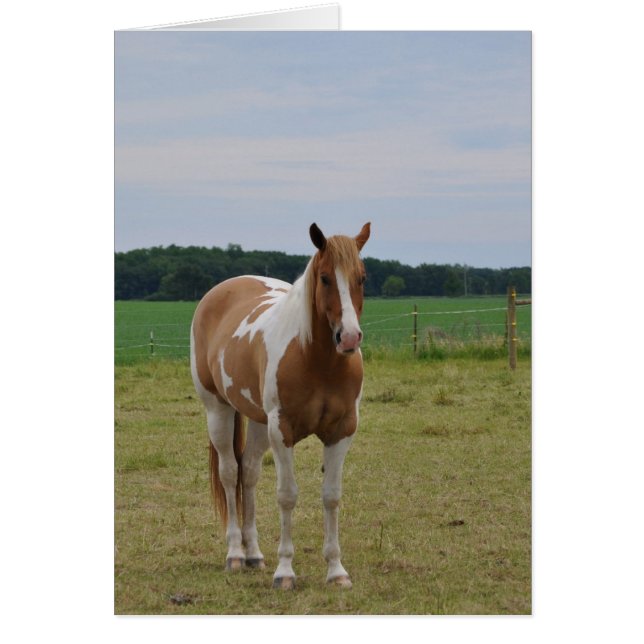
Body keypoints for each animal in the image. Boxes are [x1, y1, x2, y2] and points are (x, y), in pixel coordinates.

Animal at [190, 222, 370, 590]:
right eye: (325, 278)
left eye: (362, 277)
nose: (349, 337)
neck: (317, 360)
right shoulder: (282, 430)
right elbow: (287, 495)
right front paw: (285, 571)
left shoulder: (342, 430)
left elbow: (331, 495)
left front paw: (336, 570)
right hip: (218, 410)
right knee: (229, 473)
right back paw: (235, 554)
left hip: (259, 422)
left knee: (249, 473)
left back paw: (254, 554)